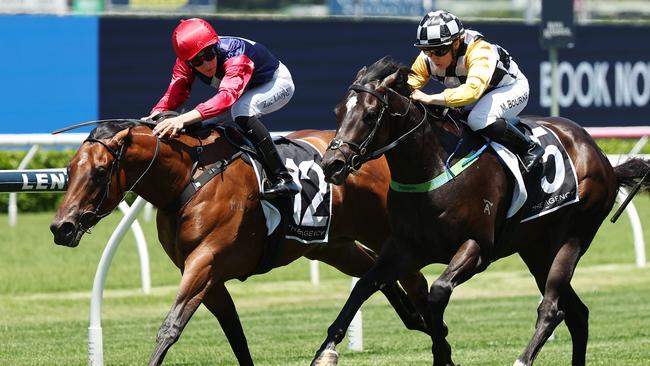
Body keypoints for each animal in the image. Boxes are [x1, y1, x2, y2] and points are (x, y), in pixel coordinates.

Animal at [48, 122, 428, 366]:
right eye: (70, 168)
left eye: (100, 171)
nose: (61, 227)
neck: (189, 179)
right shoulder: (208, 274)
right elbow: (235, 332)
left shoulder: (205, 261)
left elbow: (170, 327)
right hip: (330, 245)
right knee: (373, 273)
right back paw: (414, 319)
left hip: (383, 229)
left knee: (409, 274)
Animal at [312, 57, 644, 366]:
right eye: (338, 112)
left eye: (369, 115)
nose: (332, 165)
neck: (432, 169)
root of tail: (601, 157)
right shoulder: (404, 248)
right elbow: (364, 286)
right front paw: (325, 351)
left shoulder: (477, 247)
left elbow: (437, 293)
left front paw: (443, 355)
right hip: (537, 251)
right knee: (577, 313)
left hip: (572, 238)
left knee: (552, 308)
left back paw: (522, 359)